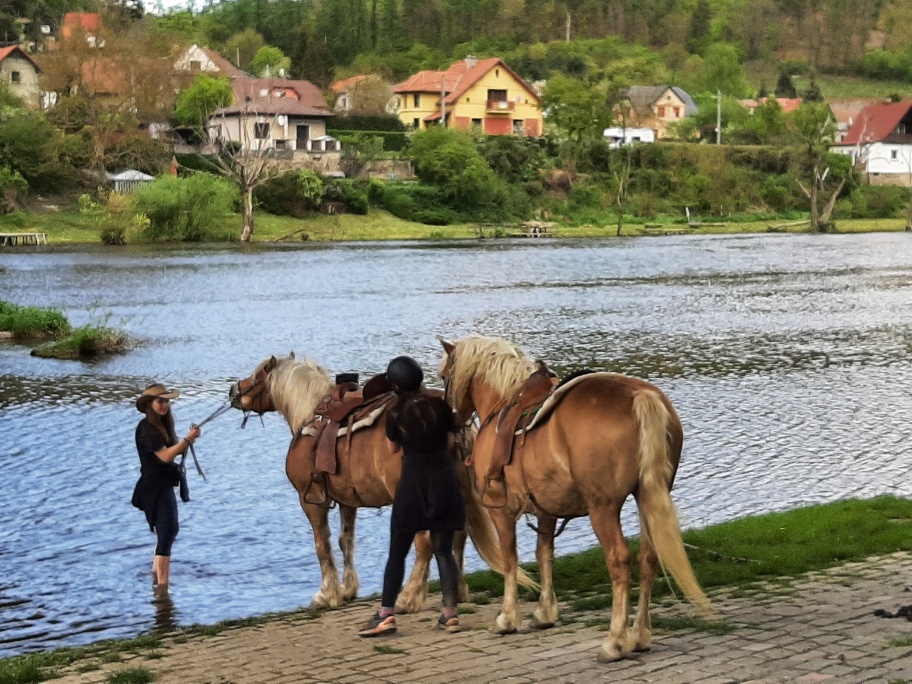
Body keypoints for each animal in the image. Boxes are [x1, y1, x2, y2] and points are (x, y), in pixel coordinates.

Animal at [228, 356, 532, 612]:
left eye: (257, 374)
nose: (233, 391)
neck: (310, 417)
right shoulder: (347, 501)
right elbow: (346, 541)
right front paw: (348, 589)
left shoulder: (311, 500)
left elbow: (322, 546)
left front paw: (327, 594)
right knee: (456, 538)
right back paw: (455, 591)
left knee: (424, 543)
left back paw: (409, 597)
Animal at [438, 336, 716, 664]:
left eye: (443, 376)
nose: (453, 421)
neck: (502, 402)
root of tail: (640, 395)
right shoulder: (546, 509)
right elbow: (544, 554)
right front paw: (545, 613)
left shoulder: (501, 510)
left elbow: (510, 560)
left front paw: (508, 618)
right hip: (649, 497)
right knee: (648, 559)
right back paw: (639, 636)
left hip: (603, 508)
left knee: (619, 561)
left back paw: (614, 641)